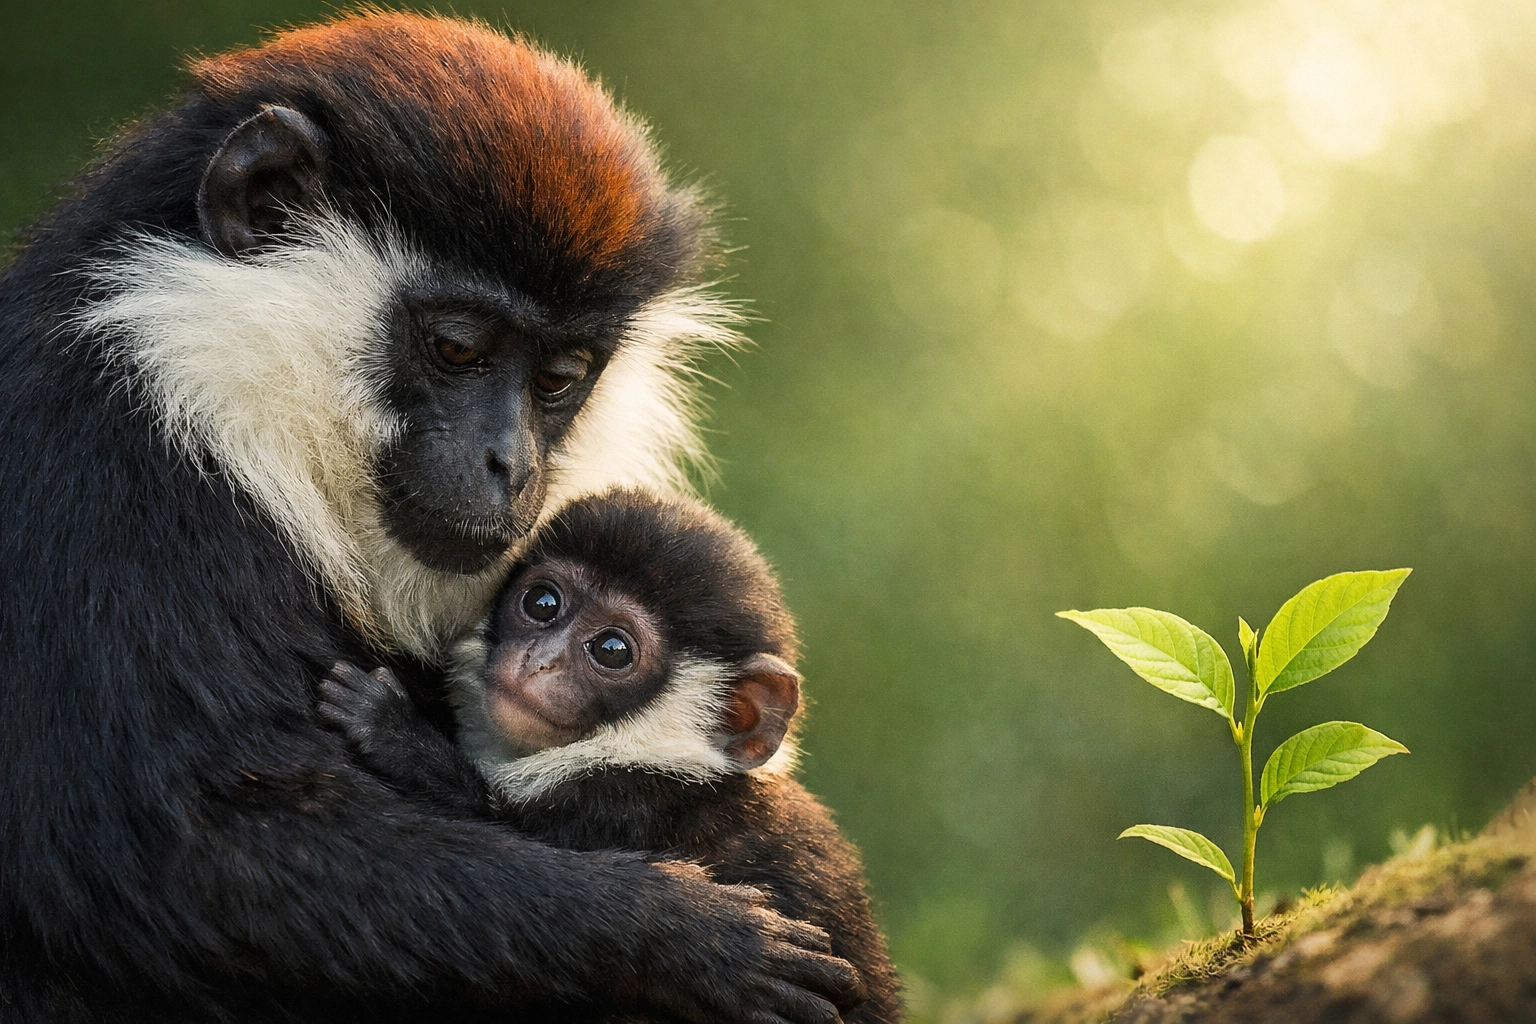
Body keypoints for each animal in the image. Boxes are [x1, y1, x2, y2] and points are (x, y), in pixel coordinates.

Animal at [317, 488, 903, 1024]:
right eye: (542, 603)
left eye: (612, 650)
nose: (539, 661)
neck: (642, 749)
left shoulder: (635, 800)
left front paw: (396, 733)